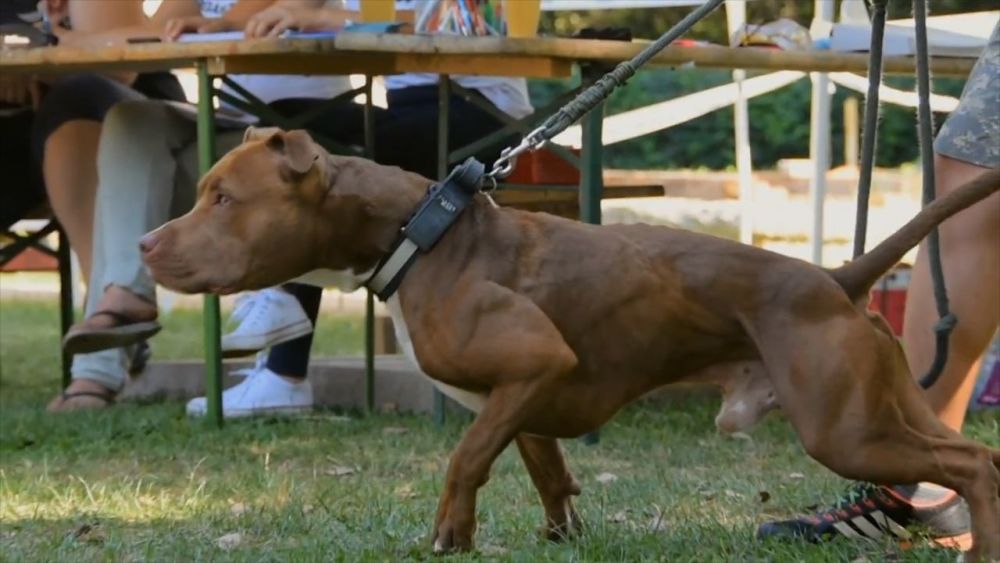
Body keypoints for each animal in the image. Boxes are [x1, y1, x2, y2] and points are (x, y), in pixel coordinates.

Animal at [143, 130, 1000, 560]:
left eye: (223, 198)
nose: (148, 244)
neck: (420, 236)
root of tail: (833, 278)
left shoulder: (533, 365)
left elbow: (465, 460)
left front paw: (448, 536)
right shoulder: (523, 398)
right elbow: (544, 470)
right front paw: (558, 538)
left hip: (843, 427)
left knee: (970, 463)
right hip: (890, 409)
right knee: (972, 453)